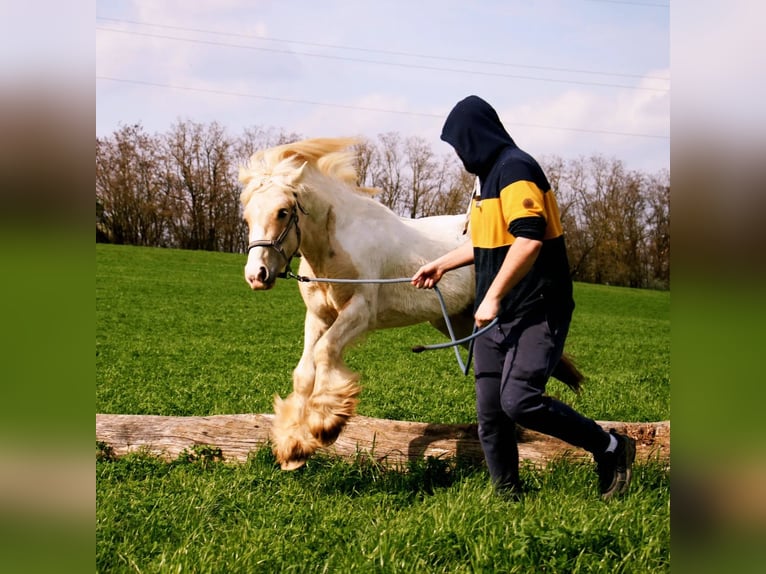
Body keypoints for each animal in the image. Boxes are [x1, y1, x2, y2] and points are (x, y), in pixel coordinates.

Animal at [240, 138, 584, 472]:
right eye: (247, 215)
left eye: (283, 211)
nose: (256, 276)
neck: (336, 246)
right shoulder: (318, 316)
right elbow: (303, 373)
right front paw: (293, 448)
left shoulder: (359, 313)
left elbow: (325, 352)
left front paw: (325, 425)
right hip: (459, 322)